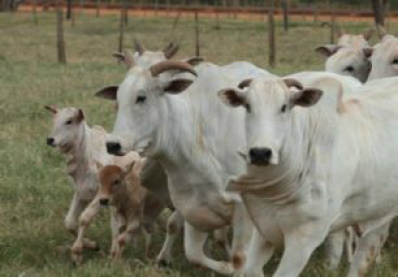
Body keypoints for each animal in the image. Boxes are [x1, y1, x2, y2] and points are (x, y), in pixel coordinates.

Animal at [101, 59, 272, 274]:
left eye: (141, 97)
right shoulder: (194, 209)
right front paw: (223, 266)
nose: (112, 144)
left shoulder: (244, 210)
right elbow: (194, 253)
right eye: (118, 98)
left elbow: (240, 257)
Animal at [219, 75, 398, 276]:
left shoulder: (305, 238)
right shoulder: (263, 229)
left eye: (284, 107)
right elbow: (251, 269)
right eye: (248, 106)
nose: (260, 153)